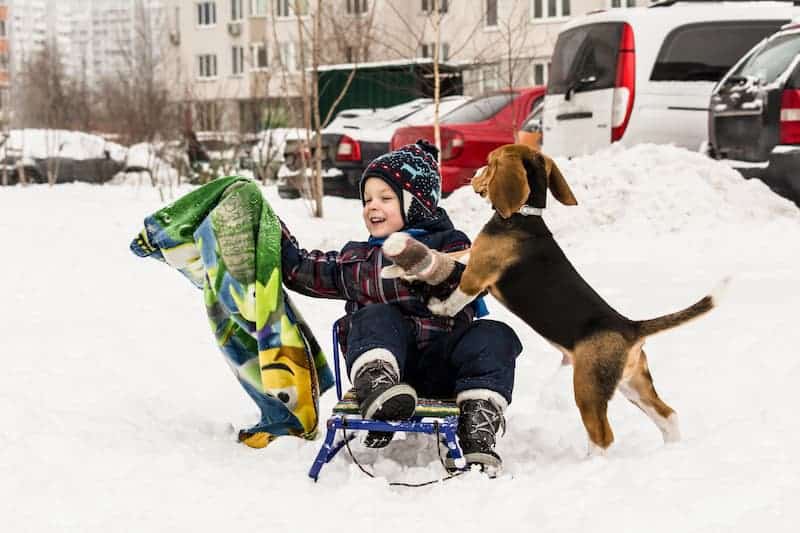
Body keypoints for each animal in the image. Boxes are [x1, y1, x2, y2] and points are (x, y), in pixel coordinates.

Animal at [424, 144, 724, 454]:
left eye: (489, 163)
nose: (473, 174)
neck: (524, 216)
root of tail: (630, 326)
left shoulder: (476, 276)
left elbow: (456, 297)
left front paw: (437, 306)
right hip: (633, 384)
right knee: (668, 415)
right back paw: (671, 448)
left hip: (587, 387)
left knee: (603, 436)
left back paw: (593, 460)